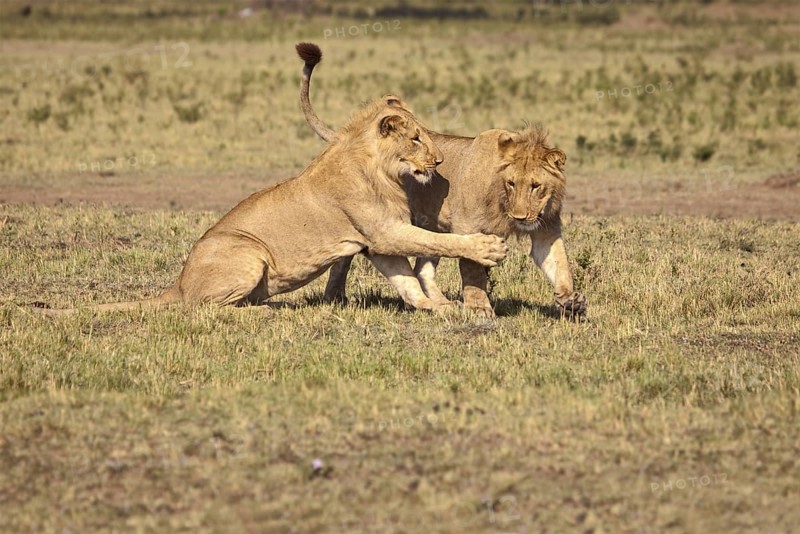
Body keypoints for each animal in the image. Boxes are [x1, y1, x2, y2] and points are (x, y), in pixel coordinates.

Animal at [36, 93, 507, 317]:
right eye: (415, 139)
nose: (440, 161)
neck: (383, 169)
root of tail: (180, 283)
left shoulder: (375, 242)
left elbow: (405, 279)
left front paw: (436, 307)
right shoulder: (384, 232)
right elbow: (439, 241)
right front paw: (487, 248)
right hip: (249, 252)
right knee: (206, 310)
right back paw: (267, 309)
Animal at [297, 42, 586, 318]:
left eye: (536, 187)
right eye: (511, 183)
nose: (520, 217)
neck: (502, 200)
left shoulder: (546, 228)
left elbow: (559, 263)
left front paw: (570, 300)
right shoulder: (469, 225)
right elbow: (473, 270)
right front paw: (479, 309)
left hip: (431, 225)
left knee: (422, 270)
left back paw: (442, 302)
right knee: (344, 259)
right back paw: (335, 297)